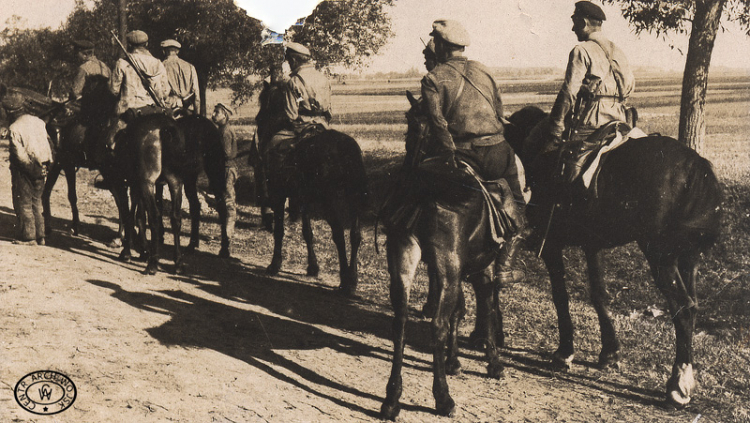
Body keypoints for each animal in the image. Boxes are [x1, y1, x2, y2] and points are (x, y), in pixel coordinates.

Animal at [113, 112, 228, 276]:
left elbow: (133, 214)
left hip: (212, 170)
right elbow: (138, 214)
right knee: (184, 213)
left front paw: (129, 252)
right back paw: (183, 257)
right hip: (181, 180)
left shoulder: (133, 182)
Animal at [251, 127, 368, 296]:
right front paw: (313, 266)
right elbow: (307, 233)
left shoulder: (279, 196)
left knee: (339, 235)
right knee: (355, 235)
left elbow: (279, 231)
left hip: (328, 203)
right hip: (353, 202)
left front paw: (275, 264)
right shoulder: (304, 201)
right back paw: (352, 278)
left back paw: (345, 280)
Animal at [382, 91, 524, 420]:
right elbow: (484, 308)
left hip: (405, 260)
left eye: (411, 127)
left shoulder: (449, 270)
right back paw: (443, 398)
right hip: (449, 270)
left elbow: (459, 310)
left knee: (400, 322)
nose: (406, 167)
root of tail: (422, 187)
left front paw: (454, 361)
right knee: (437, 325)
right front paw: (493, 362)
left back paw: (392, 398)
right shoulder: (479, 271)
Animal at [506, 106, 724, 408]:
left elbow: (560, 296)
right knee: (692, 306)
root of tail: (696, 166)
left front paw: (565, 352)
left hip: (661, 256)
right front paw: (609, 353)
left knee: (683, 308)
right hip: (689, 257)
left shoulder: (551, 245)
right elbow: (599, 295)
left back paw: (677, 387)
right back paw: (686, 377)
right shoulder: (592, 246)